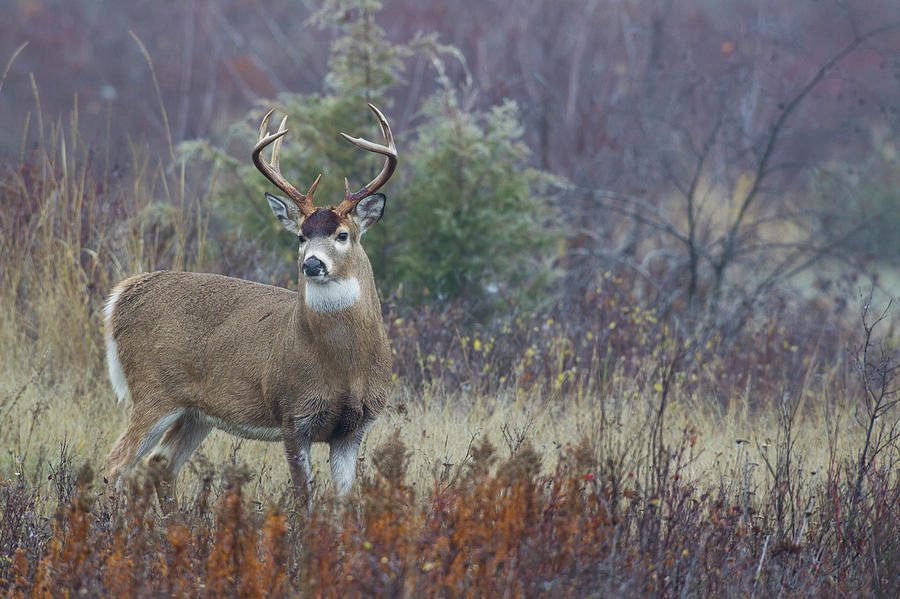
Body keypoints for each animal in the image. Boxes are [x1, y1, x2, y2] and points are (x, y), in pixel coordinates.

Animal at [103, 105, 396, 508]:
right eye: (301, 236)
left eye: (343, 235)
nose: (312, 264)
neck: (343, 367)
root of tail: (122, 296)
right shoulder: (292, 412)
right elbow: (303, 498)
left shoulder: (355, 425)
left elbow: (342, 500)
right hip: (153, 389)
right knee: (117, 463)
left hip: (196, 412)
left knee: (160, 461)